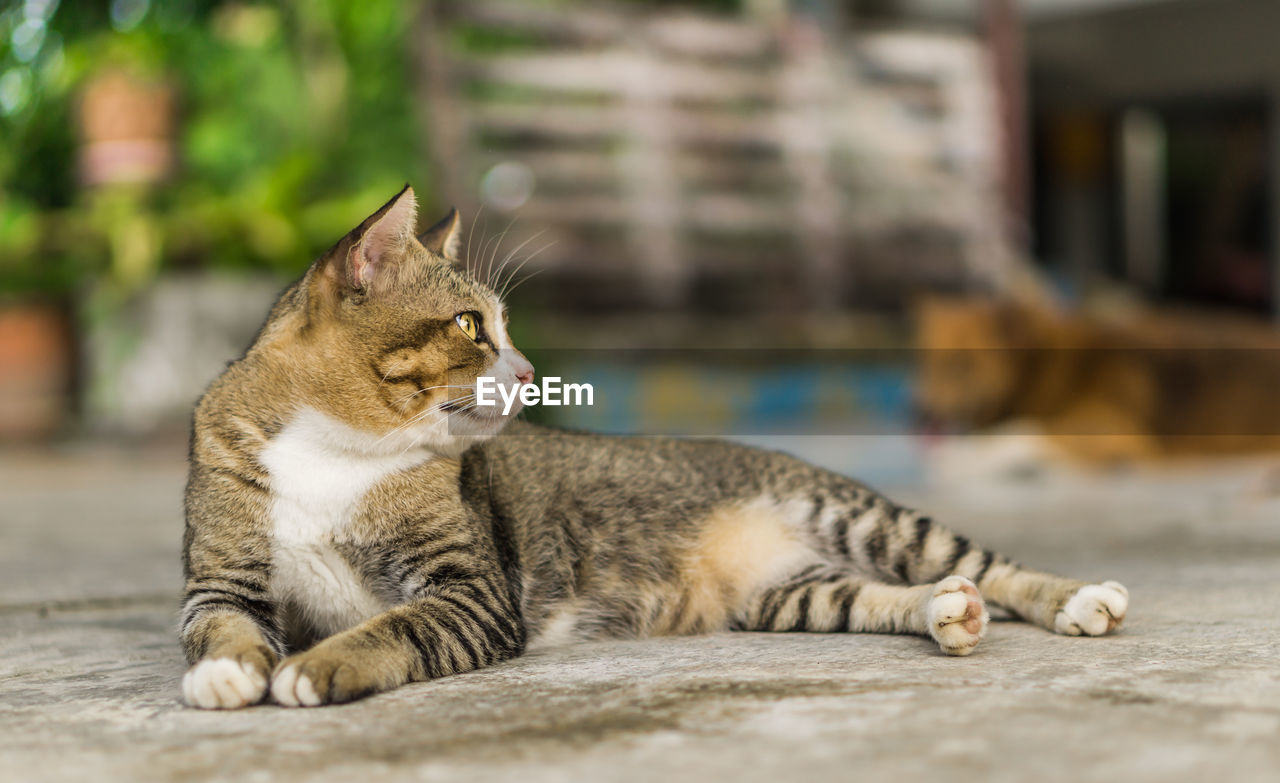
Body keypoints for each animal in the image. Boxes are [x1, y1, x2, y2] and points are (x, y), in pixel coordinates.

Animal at [183, 188, 1131, 711]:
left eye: (498, 327)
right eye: (469, 326)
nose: (528, 370)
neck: (334, 450)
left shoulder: (473, 589)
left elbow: (396, 625)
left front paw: (318, 665)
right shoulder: (221, 577)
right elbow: (221, 624)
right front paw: (226, 674)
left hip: (860, 514)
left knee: (987, 562)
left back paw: (1079, 598)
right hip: (788, 593)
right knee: (877, 595)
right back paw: (943, 611)